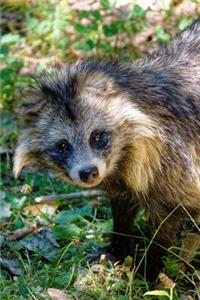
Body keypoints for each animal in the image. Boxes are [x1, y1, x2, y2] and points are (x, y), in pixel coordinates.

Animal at [14, 18, 200, 276]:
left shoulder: (176, 164)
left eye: (97, 136)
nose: (88, 173)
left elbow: (165, 223)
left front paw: (149, 268)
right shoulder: (120, 177)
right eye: (62, 145)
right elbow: (122, 207)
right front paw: (118, 247)